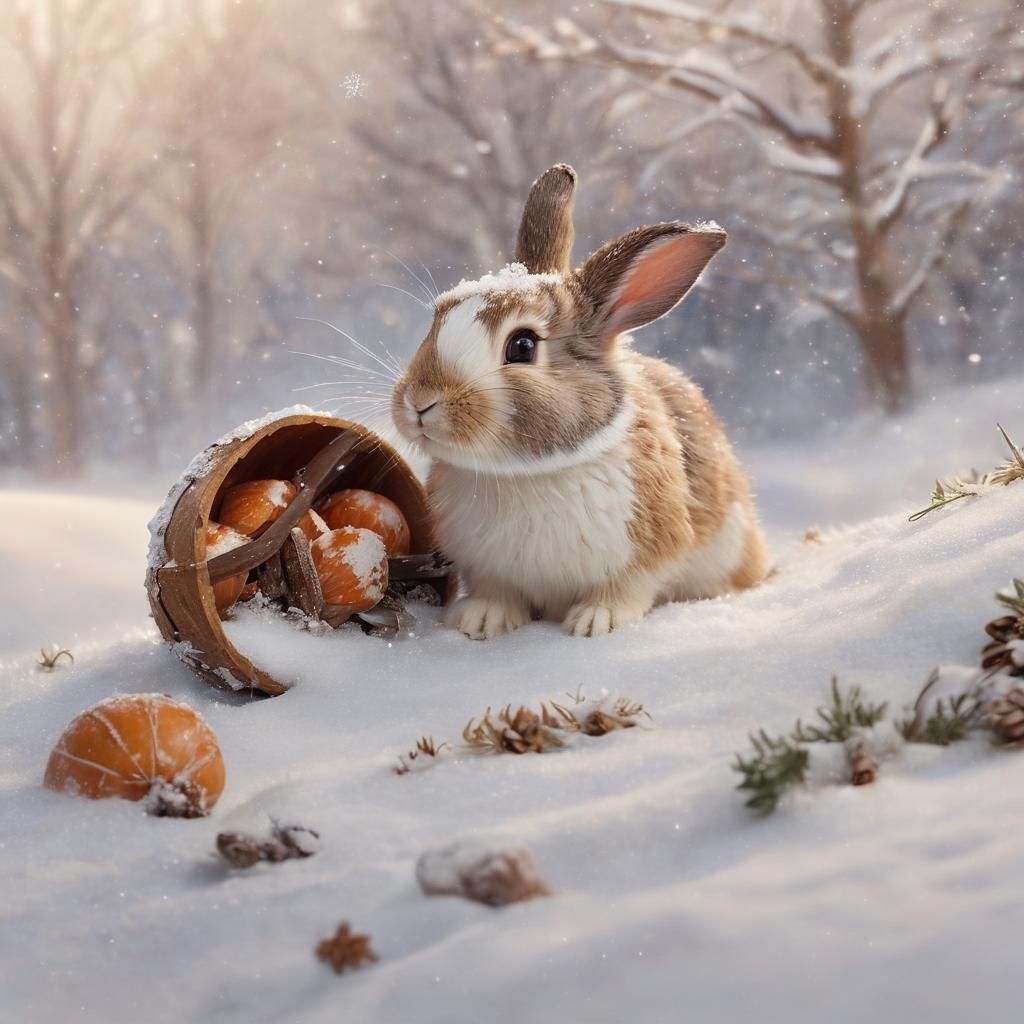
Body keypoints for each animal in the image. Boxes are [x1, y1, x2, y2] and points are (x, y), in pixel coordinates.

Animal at [391, 163, 767, 638]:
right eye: (438, 316)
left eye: (522, 346)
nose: (419, 401)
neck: (524, 473)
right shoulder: (483, 564)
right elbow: (496, 591)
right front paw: (480, 620)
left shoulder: (646, 552)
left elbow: (626, 589)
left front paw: (594, 622)